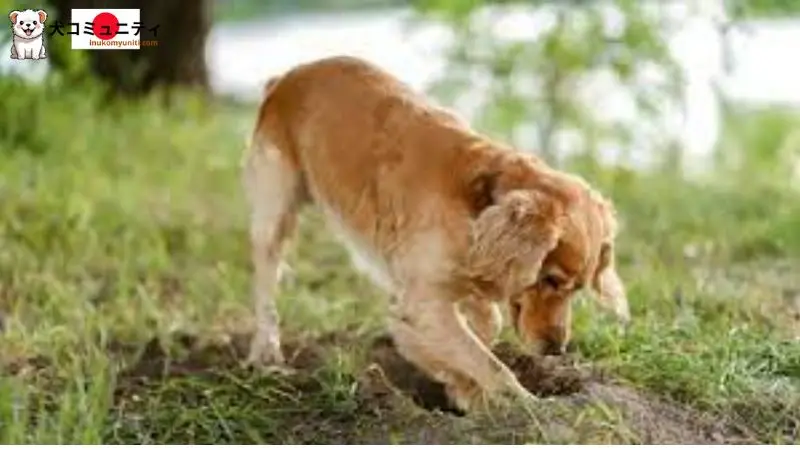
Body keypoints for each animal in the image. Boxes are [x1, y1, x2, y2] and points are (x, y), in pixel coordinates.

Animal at [241, 56, 628, 412]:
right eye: (550, 280)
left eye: (576, 290)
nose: (556, 349)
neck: (478, 203)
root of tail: (288, 76)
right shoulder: (424, 300)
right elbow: (489, 363)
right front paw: (521, 404)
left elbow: (485, 326)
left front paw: (456, 382)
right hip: (274, 211)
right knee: (265, 286)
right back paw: (266, 352)